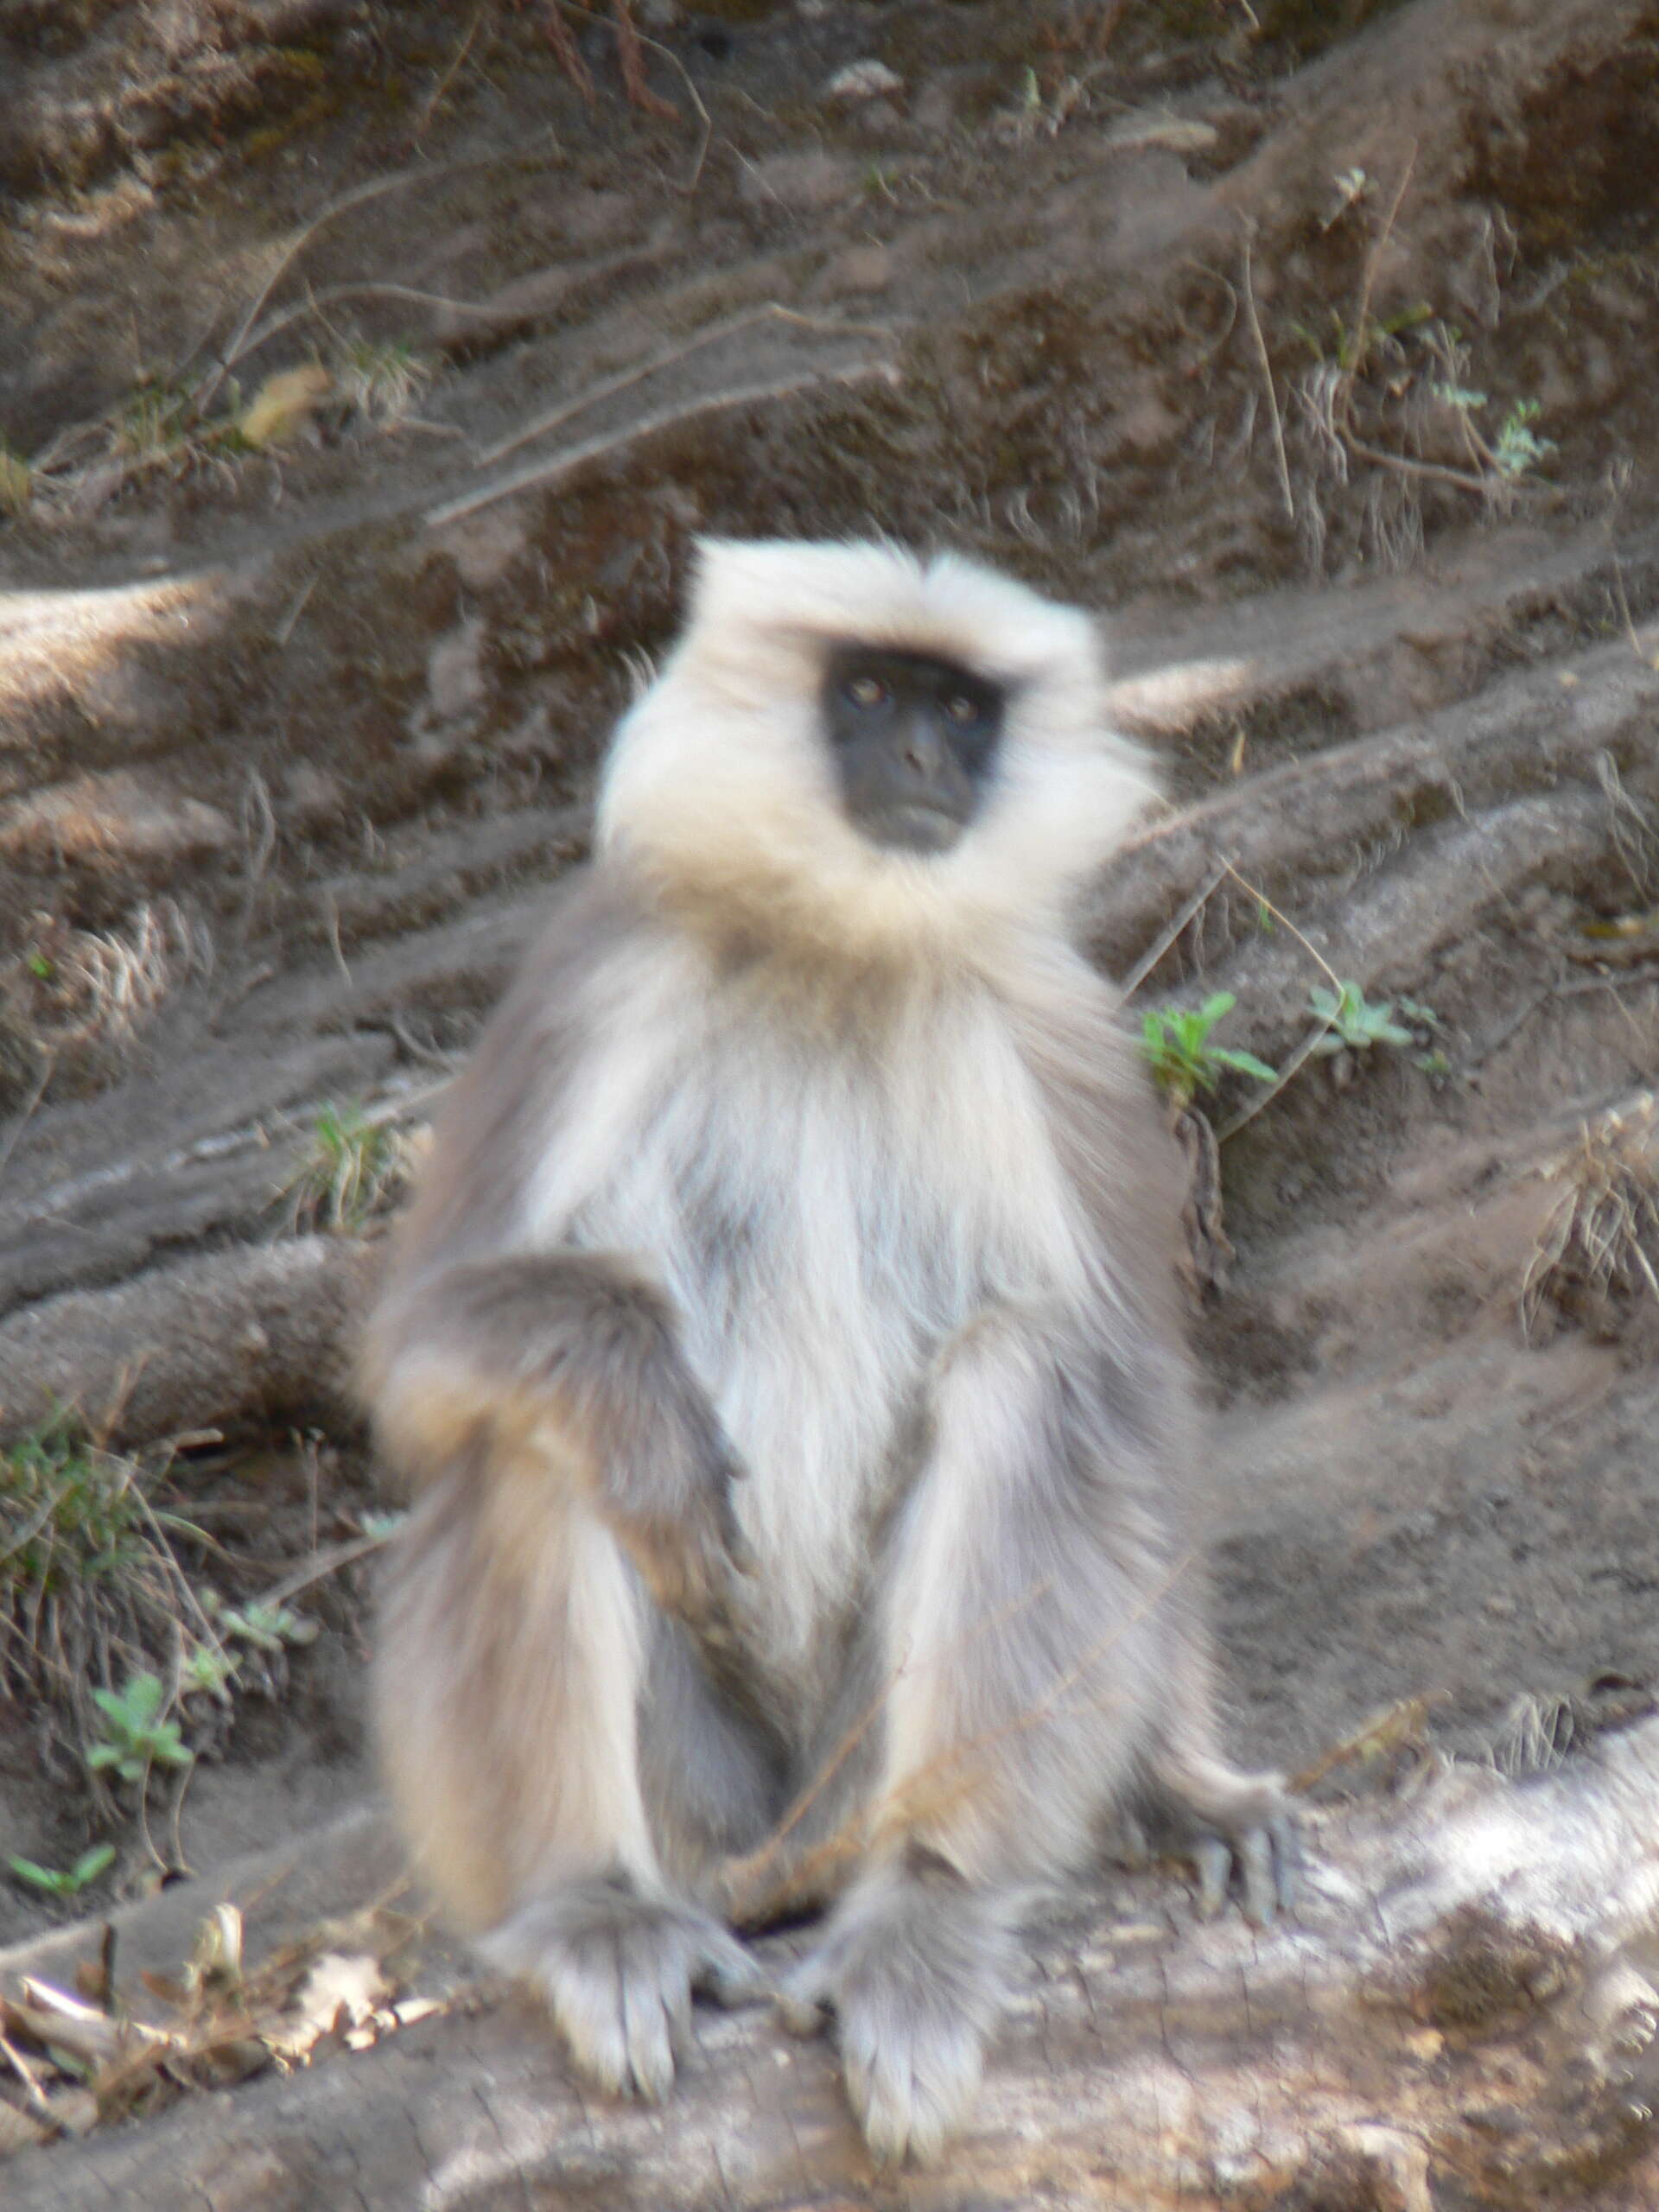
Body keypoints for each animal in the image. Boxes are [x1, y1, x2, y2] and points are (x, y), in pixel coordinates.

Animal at [366, 535, 1300, 2158]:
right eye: (867, 693)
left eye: (962, 709)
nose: (923, 758)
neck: (838, 943)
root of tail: (778, 1862)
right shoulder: (600, 971)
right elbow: (422, 1362)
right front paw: (636, 1400)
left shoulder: (1056, 1026)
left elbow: (1139, 1426)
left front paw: (1182, 1789)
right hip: (707, 1818)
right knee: (537, 1441)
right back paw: (596, 1911)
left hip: (851, 1784)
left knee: (1029, 1374)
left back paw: (927, 1909)